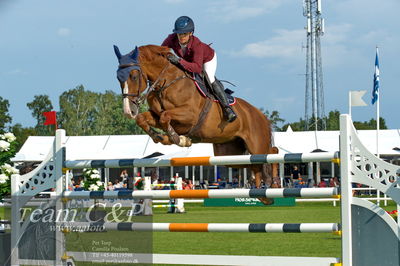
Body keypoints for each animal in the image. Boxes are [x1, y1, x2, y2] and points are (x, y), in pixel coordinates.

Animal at [114, 44, 278, 201]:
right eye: (118, 78)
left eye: (134, 76)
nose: (128, 111)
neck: (166, 83)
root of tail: (261, 115)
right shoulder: (156, 115)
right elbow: (144, 119)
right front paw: (160, 137)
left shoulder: (189, 115)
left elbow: (165, 116)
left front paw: (177, 139)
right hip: (229, 154)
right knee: (254, 165)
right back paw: (262, 195)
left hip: (256, 144)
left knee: (271, 153)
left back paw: (274, 185)